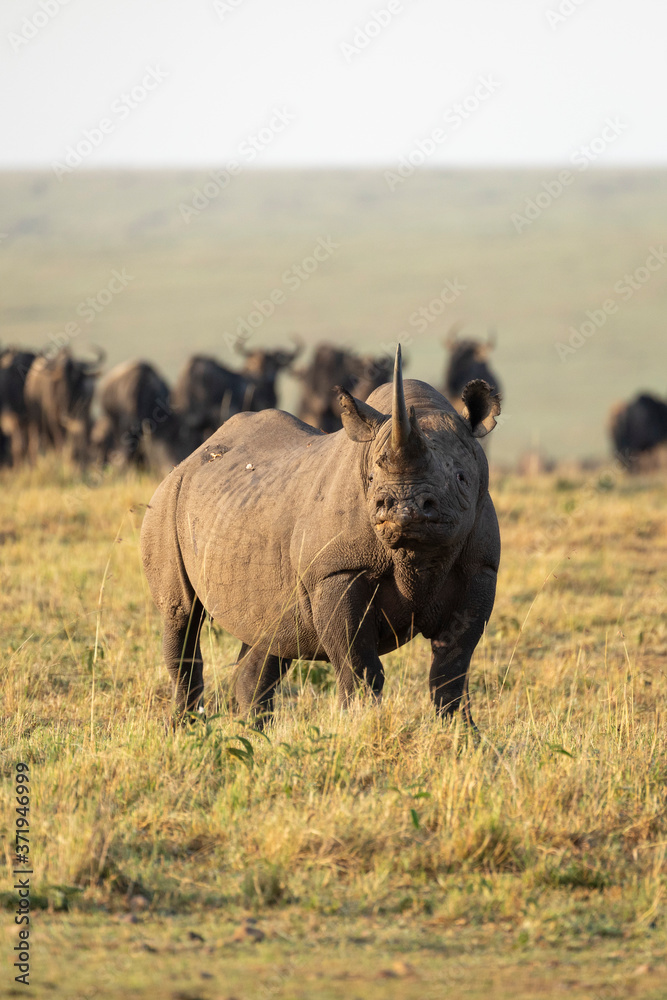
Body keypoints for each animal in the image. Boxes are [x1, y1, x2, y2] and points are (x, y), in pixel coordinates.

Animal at [140, 348, 501, 727]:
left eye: (461, 478)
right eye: (371, 479)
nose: (403, 508)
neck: (416, 557)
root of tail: (195, 454)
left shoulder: (480, 568)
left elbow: (452, 666)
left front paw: (463, 733)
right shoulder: (336, 571)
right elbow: (359, 665)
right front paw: (357, 726)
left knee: (270, 633)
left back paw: (256, 730)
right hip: (168, 499)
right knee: (182, 615)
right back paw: (185, 728)